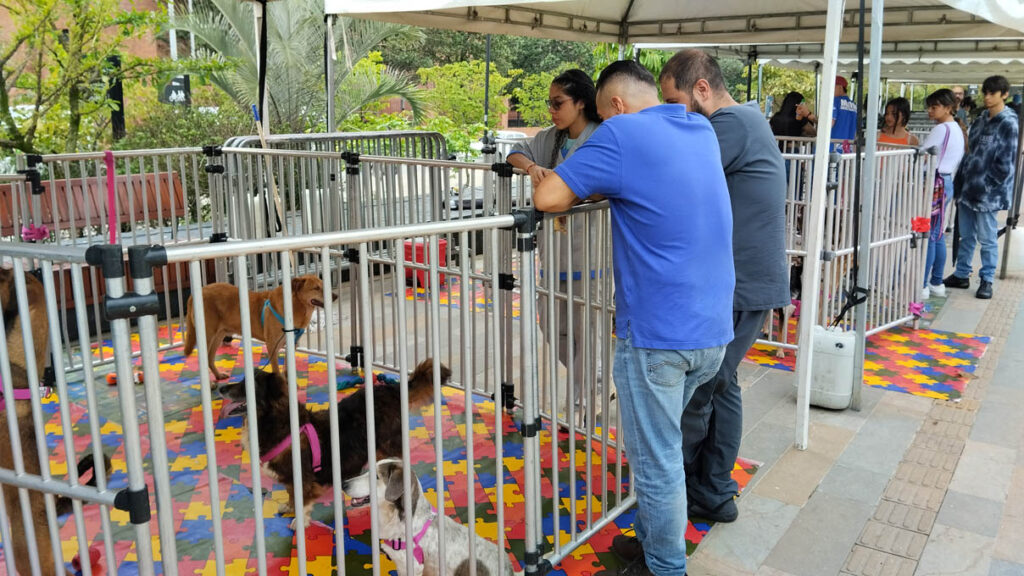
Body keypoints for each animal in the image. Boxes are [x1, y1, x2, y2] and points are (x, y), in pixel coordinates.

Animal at [184, 274, 335, 381]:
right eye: (316, 288)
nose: (335, 296)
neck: (295, 305)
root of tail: (195, 294)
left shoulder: (291, 345)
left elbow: (288, 369)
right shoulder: (272, 346)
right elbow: (277, 370)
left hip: (219, 335)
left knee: (209, 358)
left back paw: (218, 375)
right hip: (207, 336)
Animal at [222, 356, 450, 528]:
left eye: (249, 386)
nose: (221, 389)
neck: (276, 423)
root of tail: (393, 390)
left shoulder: (304, 479)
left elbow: (302, 501)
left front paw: (299, 522)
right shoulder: (291, 480)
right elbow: (291, 494)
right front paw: (289, 506)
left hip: (389, 446)